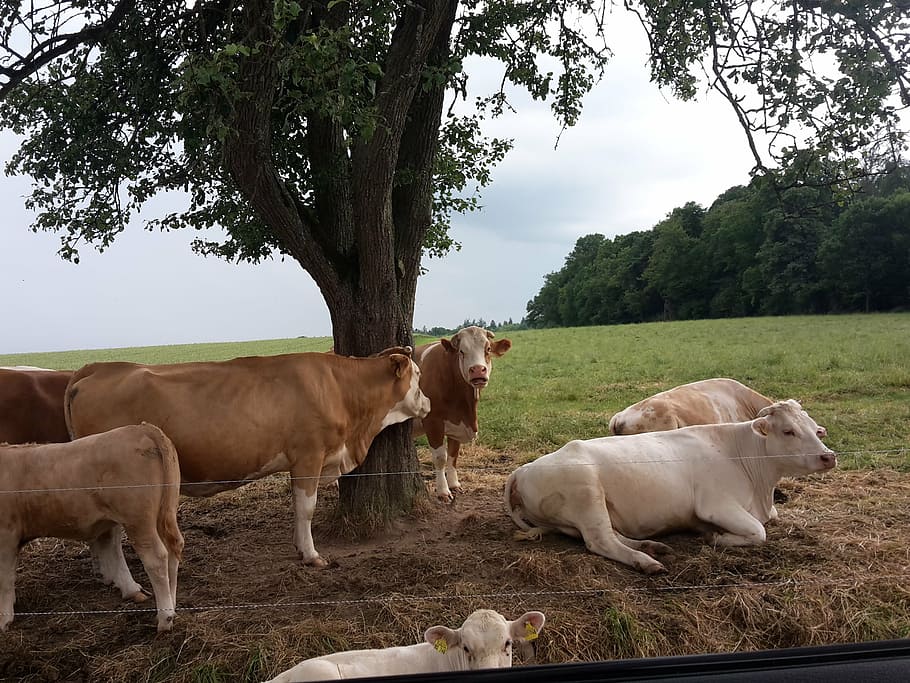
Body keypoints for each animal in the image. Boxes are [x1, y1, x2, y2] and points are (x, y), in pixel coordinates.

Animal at [0, 423, 183, 632]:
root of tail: (141, 428)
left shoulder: (6, 535)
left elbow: (4, 578)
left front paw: (4, 620)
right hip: (165, 512)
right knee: (173, 549)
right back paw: (172, 607)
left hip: (139, 521)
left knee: (156, 558)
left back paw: (165, 618)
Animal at [64, 351, 431, 568]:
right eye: (418, 376)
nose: (428, 402)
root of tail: (99, 368)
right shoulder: (308, 455)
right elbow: (306, 508)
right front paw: (311, 555)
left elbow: (297, 507)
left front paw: (299, 547)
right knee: (110, 536)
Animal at [412, 326, 512, 502]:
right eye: (461, 351)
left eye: (488, 349)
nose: (478, 370)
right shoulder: (433, 422)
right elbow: (440, 458)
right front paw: (443, 491)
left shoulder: (456, 425)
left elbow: (453, 455)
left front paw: (454, 484)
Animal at [505, 400, 836, 574]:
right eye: (788, 431)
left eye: (815, 429)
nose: (828, 456)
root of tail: (523, 468)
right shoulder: (715, 505)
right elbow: (759, 532)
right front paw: (715, 537)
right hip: (587, 494)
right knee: (600, 541)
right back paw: (646, 561)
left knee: (611, 534)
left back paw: (652, 546)